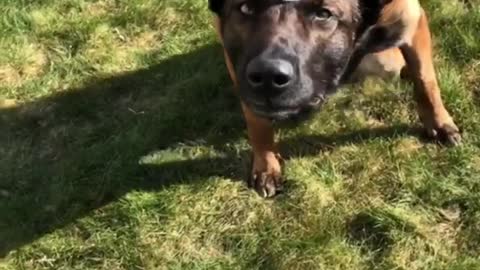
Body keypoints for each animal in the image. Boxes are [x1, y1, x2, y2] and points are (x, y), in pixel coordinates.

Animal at [209, 0, 462, 198]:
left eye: (323, 14)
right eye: (246, 7)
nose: (269, 77)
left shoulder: (410, 19)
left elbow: (426, 80)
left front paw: (440, 123)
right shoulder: (236, 61)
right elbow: (256, 120)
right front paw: (266, 164)